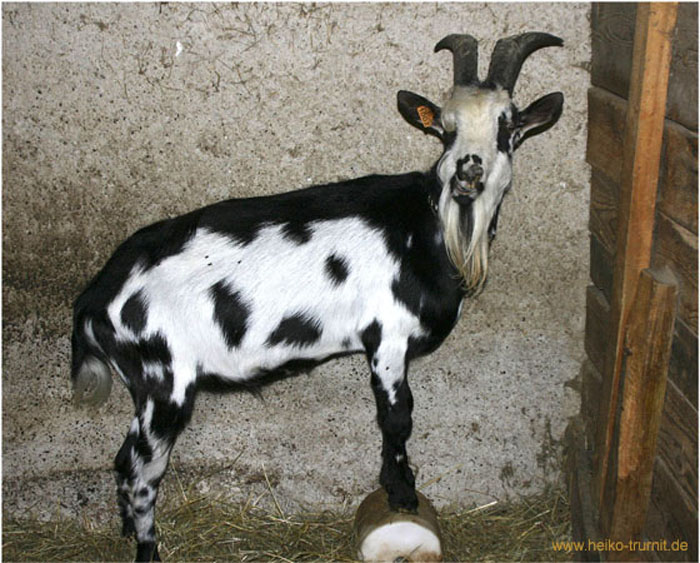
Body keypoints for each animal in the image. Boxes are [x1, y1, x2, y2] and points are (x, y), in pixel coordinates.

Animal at [71, 32, 564, 561]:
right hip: (163, 382)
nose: (467, 174)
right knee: (138, 468)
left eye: (507, 124)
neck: (433, 228)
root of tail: (94, 298)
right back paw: (147, 547)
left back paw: (127, 531)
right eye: (446, 129)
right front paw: (401, 495)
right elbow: (397, 417)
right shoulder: (387, 339)